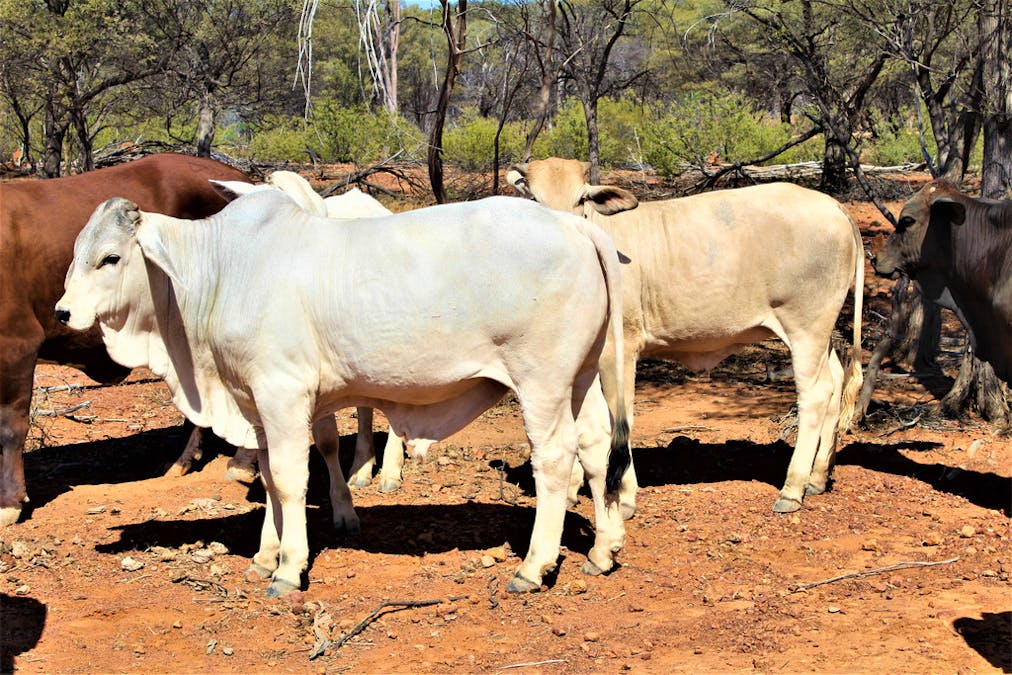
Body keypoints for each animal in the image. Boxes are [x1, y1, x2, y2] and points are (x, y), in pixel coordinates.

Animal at [57, 190, 631, 595]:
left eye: (110, 258)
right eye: (77, 252)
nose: (62, 312)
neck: (219, 272)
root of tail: (573, 224)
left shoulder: (283, 394)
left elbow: (290, 481)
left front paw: (288, 569)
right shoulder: (256, 406)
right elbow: (268, 479)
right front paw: (265, 556)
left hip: (541, 382)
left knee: (554, 460)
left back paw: (533, 567)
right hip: (580, 379)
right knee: (595, 447)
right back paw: (602, 551)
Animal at [505, 159, 862, 518]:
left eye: (581, 199)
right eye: (533, 199)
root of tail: (832, 205)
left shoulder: (619, 349)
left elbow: (621, 416)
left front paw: (624, 496)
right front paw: (572, 490)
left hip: (805, 327)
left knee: (816, 394)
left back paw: (793, 488)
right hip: (822, 333)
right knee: (835, 382)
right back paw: (818, 477)